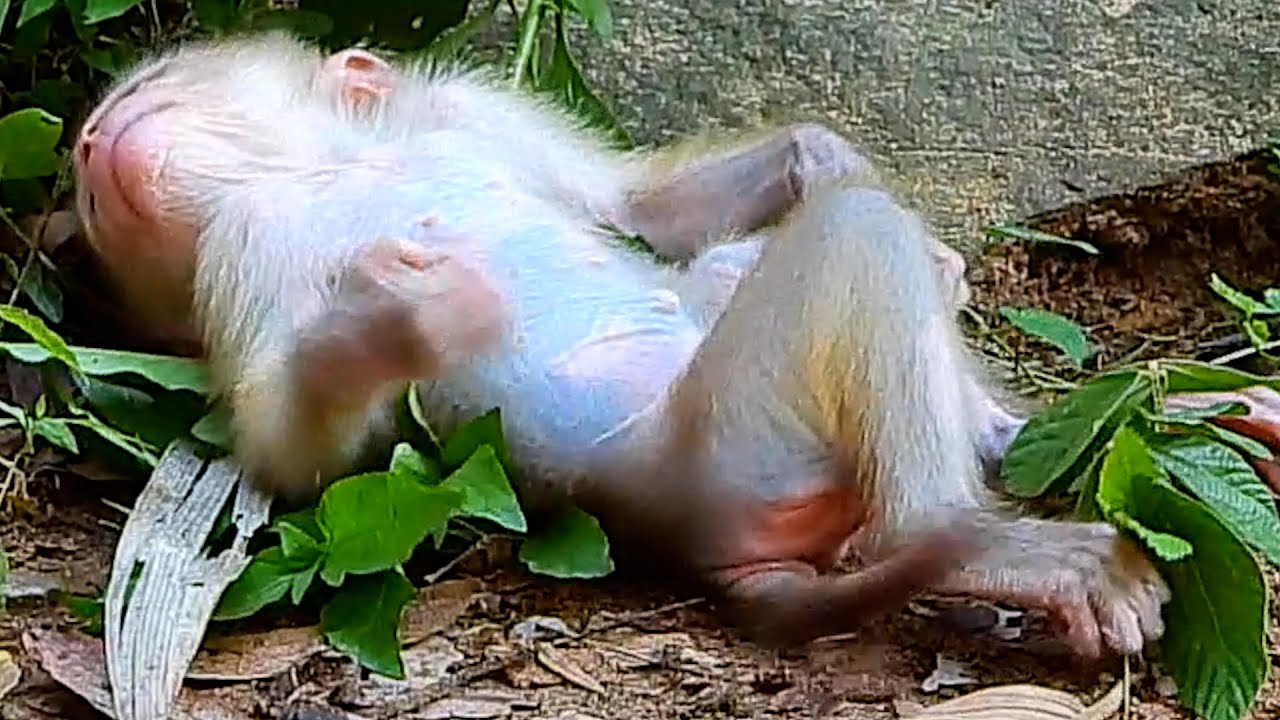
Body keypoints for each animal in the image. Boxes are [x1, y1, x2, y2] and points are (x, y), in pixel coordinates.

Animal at [72, 32, 1179, 658]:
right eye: (89, 163)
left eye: (143, 98)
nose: (84, 146)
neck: (336, 168)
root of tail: (694, 532)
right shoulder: (245, 243)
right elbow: (289, 457)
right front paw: (408, 316)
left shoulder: (464, 112)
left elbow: (628, 204)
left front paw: (817, 154)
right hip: (740, 443)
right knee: (851, 241)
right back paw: (956, 531)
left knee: (768, 261)